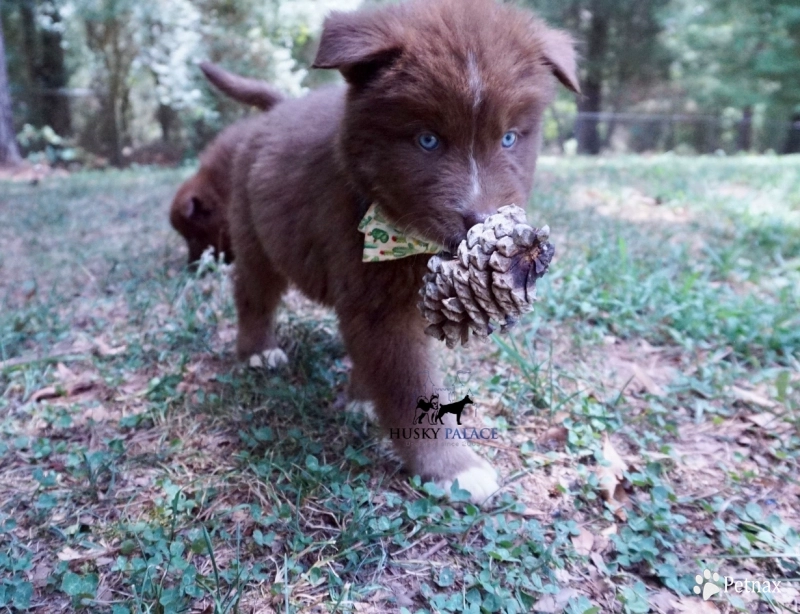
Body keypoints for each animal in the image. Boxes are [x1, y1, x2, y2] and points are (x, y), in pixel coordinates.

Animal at [228, 0, 580, 502]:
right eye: (427, 140)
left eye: (510, 138)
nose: (481, 220)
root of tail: (278, 109)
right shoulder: (379, 302)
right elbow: (406, 382)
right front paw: (453, 466)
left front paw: (362, 398)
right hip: (254, 234)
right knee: (253, 291)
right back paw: (258, 351)